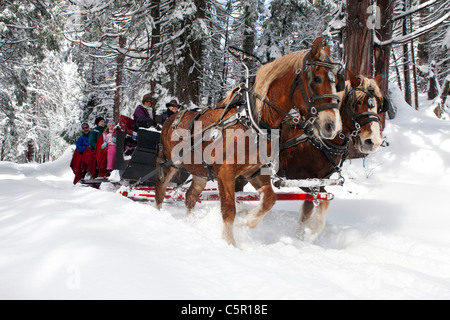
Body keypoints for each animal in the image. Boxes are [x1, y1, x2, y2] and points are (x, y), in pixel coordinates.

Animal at [155, 37, 342, 245]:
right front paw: (230, 243)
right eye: (317, 79)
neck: (252, 121)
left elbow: (269, 199)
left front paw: (247, 220)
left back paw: (191, 223)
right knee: (160, 192)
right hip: (168, 164)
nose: (331, 125)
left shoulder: (255, 172)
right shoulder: (225, 174)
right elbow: (229, 210)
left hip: (200, 173)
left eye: (337, 82)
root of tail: (170, 119)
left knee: (190, 197)